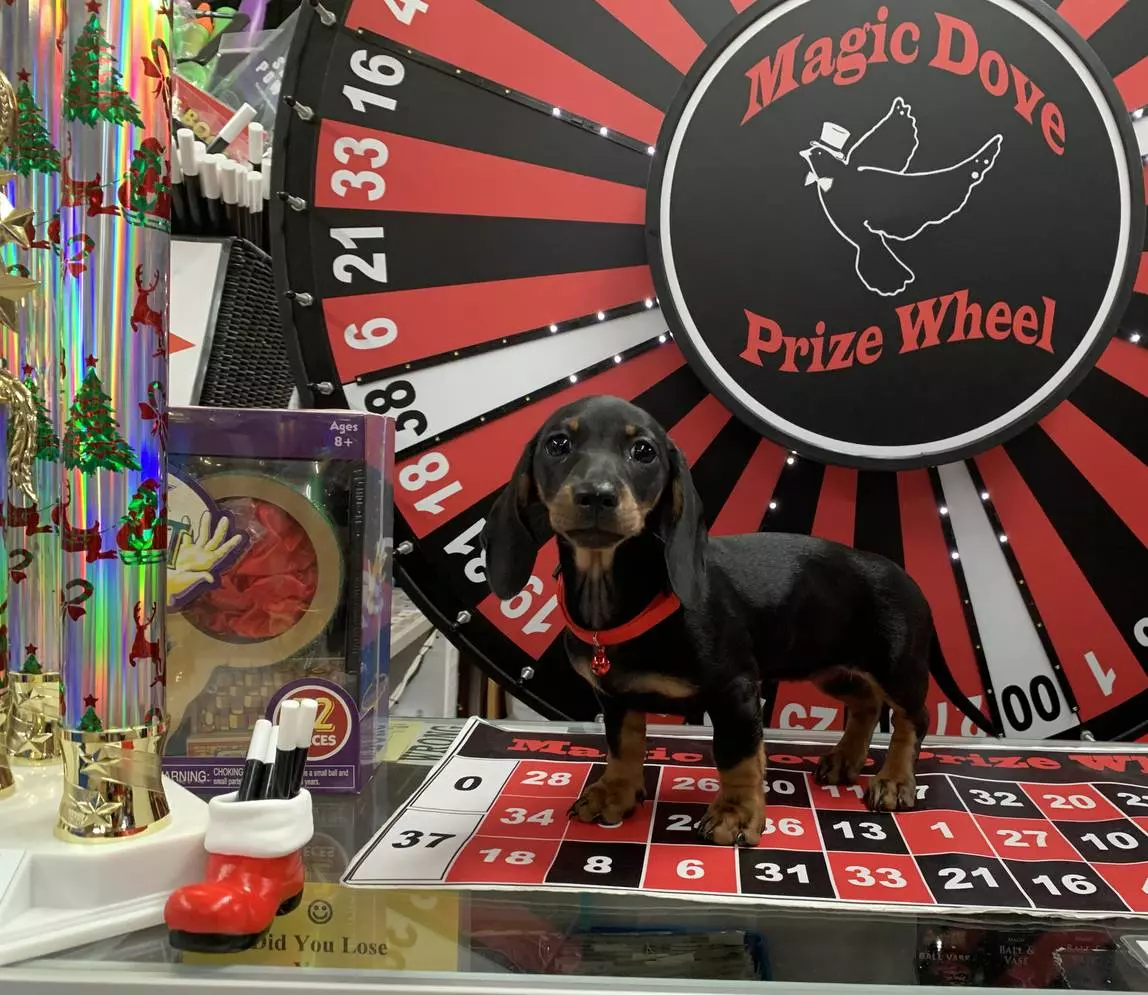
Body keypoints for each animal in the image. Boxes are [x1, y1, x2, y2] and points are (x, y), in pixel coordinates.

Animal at [482, 392, 987, 844]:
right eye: (558, 444)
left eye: (643, 451)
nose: (596, 496)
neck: (620, 591)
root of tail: (906, 576)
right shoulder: (614, 697)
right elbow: (623, 746)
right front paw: (615, 794)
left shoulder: (736, 692)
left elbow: (736, 757)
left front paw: (737, 813)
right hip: (830, 668)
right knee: (864, 703)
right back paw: (846, 759)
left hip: (897, 667)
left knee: (912, 718)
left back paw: (895, 779)